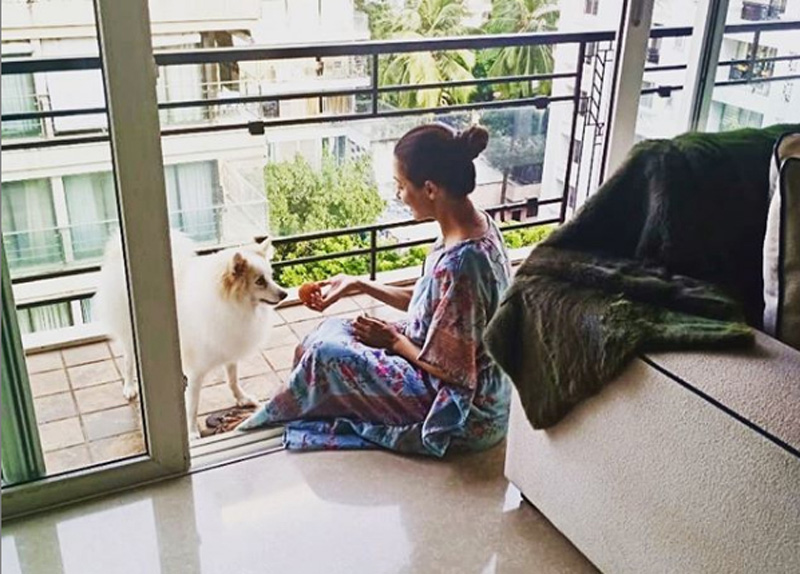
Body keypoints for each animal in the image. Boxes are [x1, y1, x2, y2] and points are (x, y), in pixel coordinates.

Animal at [94, 231, 288, 439]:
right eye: (259, 281)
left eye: (271, 277)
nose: (284, 294)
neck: (229, 304)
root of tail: (117, 251)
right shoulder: (197, 370)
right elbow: (193, 404)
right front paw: (193, 432)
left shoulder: (228, 347)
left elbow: (233, 379)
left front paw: (242, 398)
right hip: (129, 333)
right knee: (129, 359)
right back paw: (130, 387)